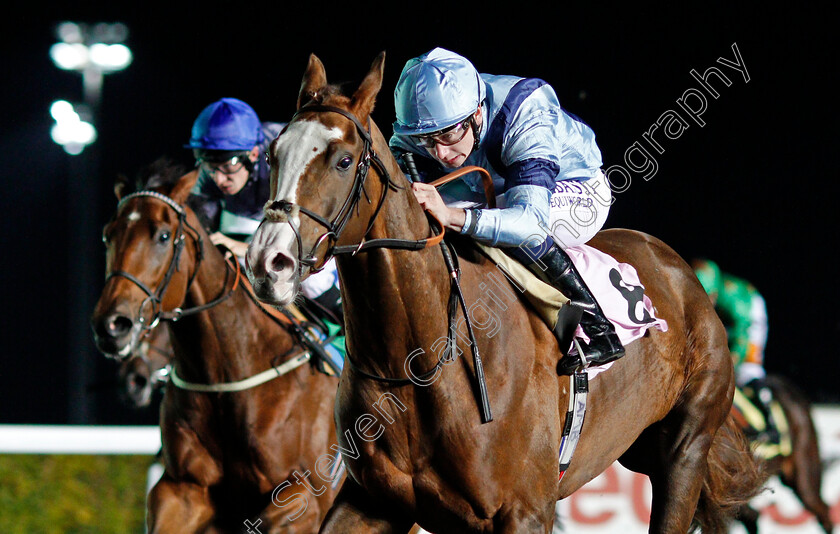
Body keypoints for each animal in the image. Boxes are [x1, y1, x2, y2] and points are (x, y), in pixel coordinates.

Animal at [246, 51, 764, 534]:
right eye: (273, 155)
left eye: (343, 161)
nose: (268, 262)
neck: (420, 361)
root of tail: (676, 266)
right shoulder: (373, 501)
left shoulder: (524, 511)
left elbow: (529, 218)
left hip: (686, 448)